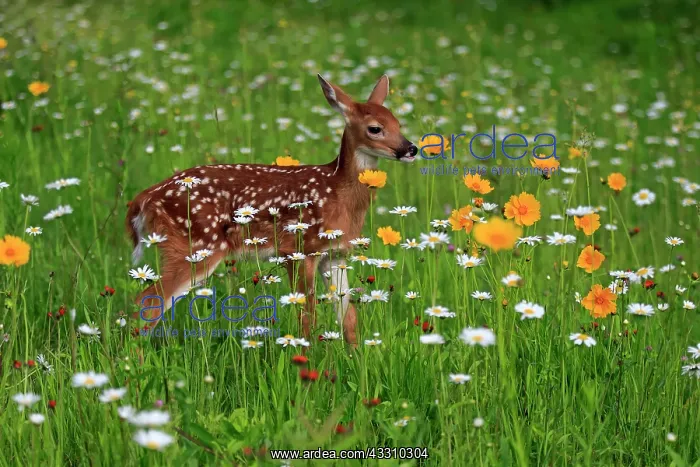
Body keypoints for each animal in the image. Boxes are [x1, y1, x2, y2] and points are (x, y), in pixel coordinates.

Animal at [125, 74, 418, 346]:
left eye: (398, 124)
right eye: (375, 128)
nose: (411, 149)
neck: (337, 191)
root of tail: (145, 197)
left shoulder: (335, 255)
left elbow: (348, 317)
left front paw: (355, 358)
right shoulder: (300, 249)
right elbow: (307, 315)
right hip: (195, 245)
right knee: (147, 301)